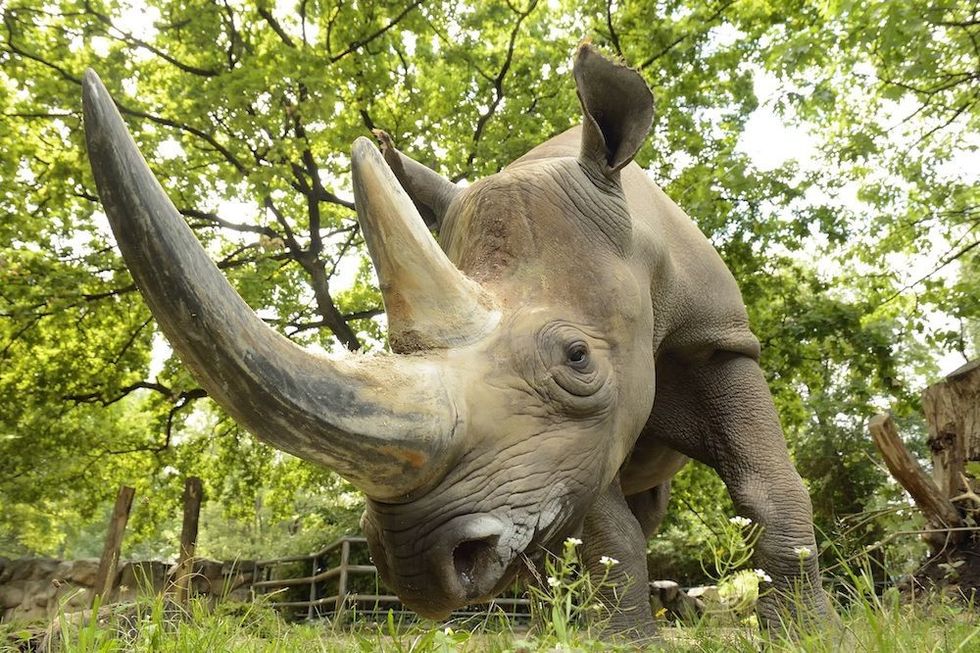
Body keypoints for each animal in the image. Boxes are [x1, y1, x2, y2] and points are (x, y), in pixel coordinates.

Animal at [81, 44, 831, 637]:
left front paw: (807, 632)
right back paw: (553, 627)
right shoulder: (578, 444)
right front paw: (621, 641)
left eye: (577, 359)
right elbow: (604, 527)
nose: (416, 568)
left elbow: (769, 485)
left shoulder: (718, 339)